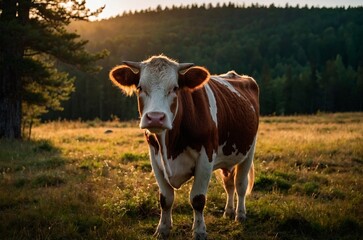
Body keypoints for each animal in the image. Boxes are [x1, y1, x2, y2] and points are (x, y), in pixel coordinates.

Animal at [109, 55, 260, 239]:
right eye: (140, 87)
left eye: (175, 88)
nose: (155, 118)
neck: (170, 146)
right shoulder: (155, 158)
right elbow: (165, 199)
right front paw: (162, 229)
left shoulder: (206, 157)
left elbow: (198, 199)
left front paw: (199, 231)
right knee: (229, 184)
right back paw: (229, 212)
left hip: (249, 151)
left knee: (240, 185)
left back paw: (240, 214)